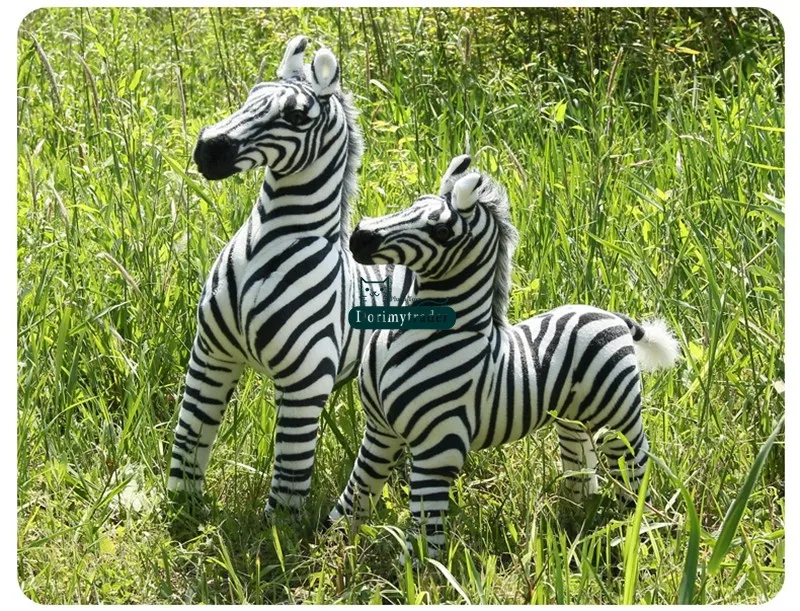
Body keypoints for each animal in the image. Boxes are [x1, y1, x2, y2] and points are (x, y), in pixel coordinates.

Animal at [167, 35, 413, 516]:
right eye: (249, 97)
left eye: (297, 116)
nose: (207, 149)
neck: (263, 252)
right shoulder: (210, 354)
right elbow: (192, 431)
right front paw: (182, 507)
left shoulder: (306, 380)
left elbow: (290, 468)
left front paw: (278, 530)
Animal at [327, 154, 680, 561]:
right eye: (414, 204)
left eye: (442, 232)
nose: (360, 236)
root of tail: (613, 317)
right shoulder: (380, 430)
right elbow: (356, 493)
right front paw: (329, 544)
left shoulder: (438, 446)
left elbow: (424, 524)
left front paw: (417, 570)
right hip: (573, 418)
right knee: (580, 466)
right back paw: (575, 520)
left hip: (618, 412)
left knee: (634, 463)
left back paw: (638, 526)